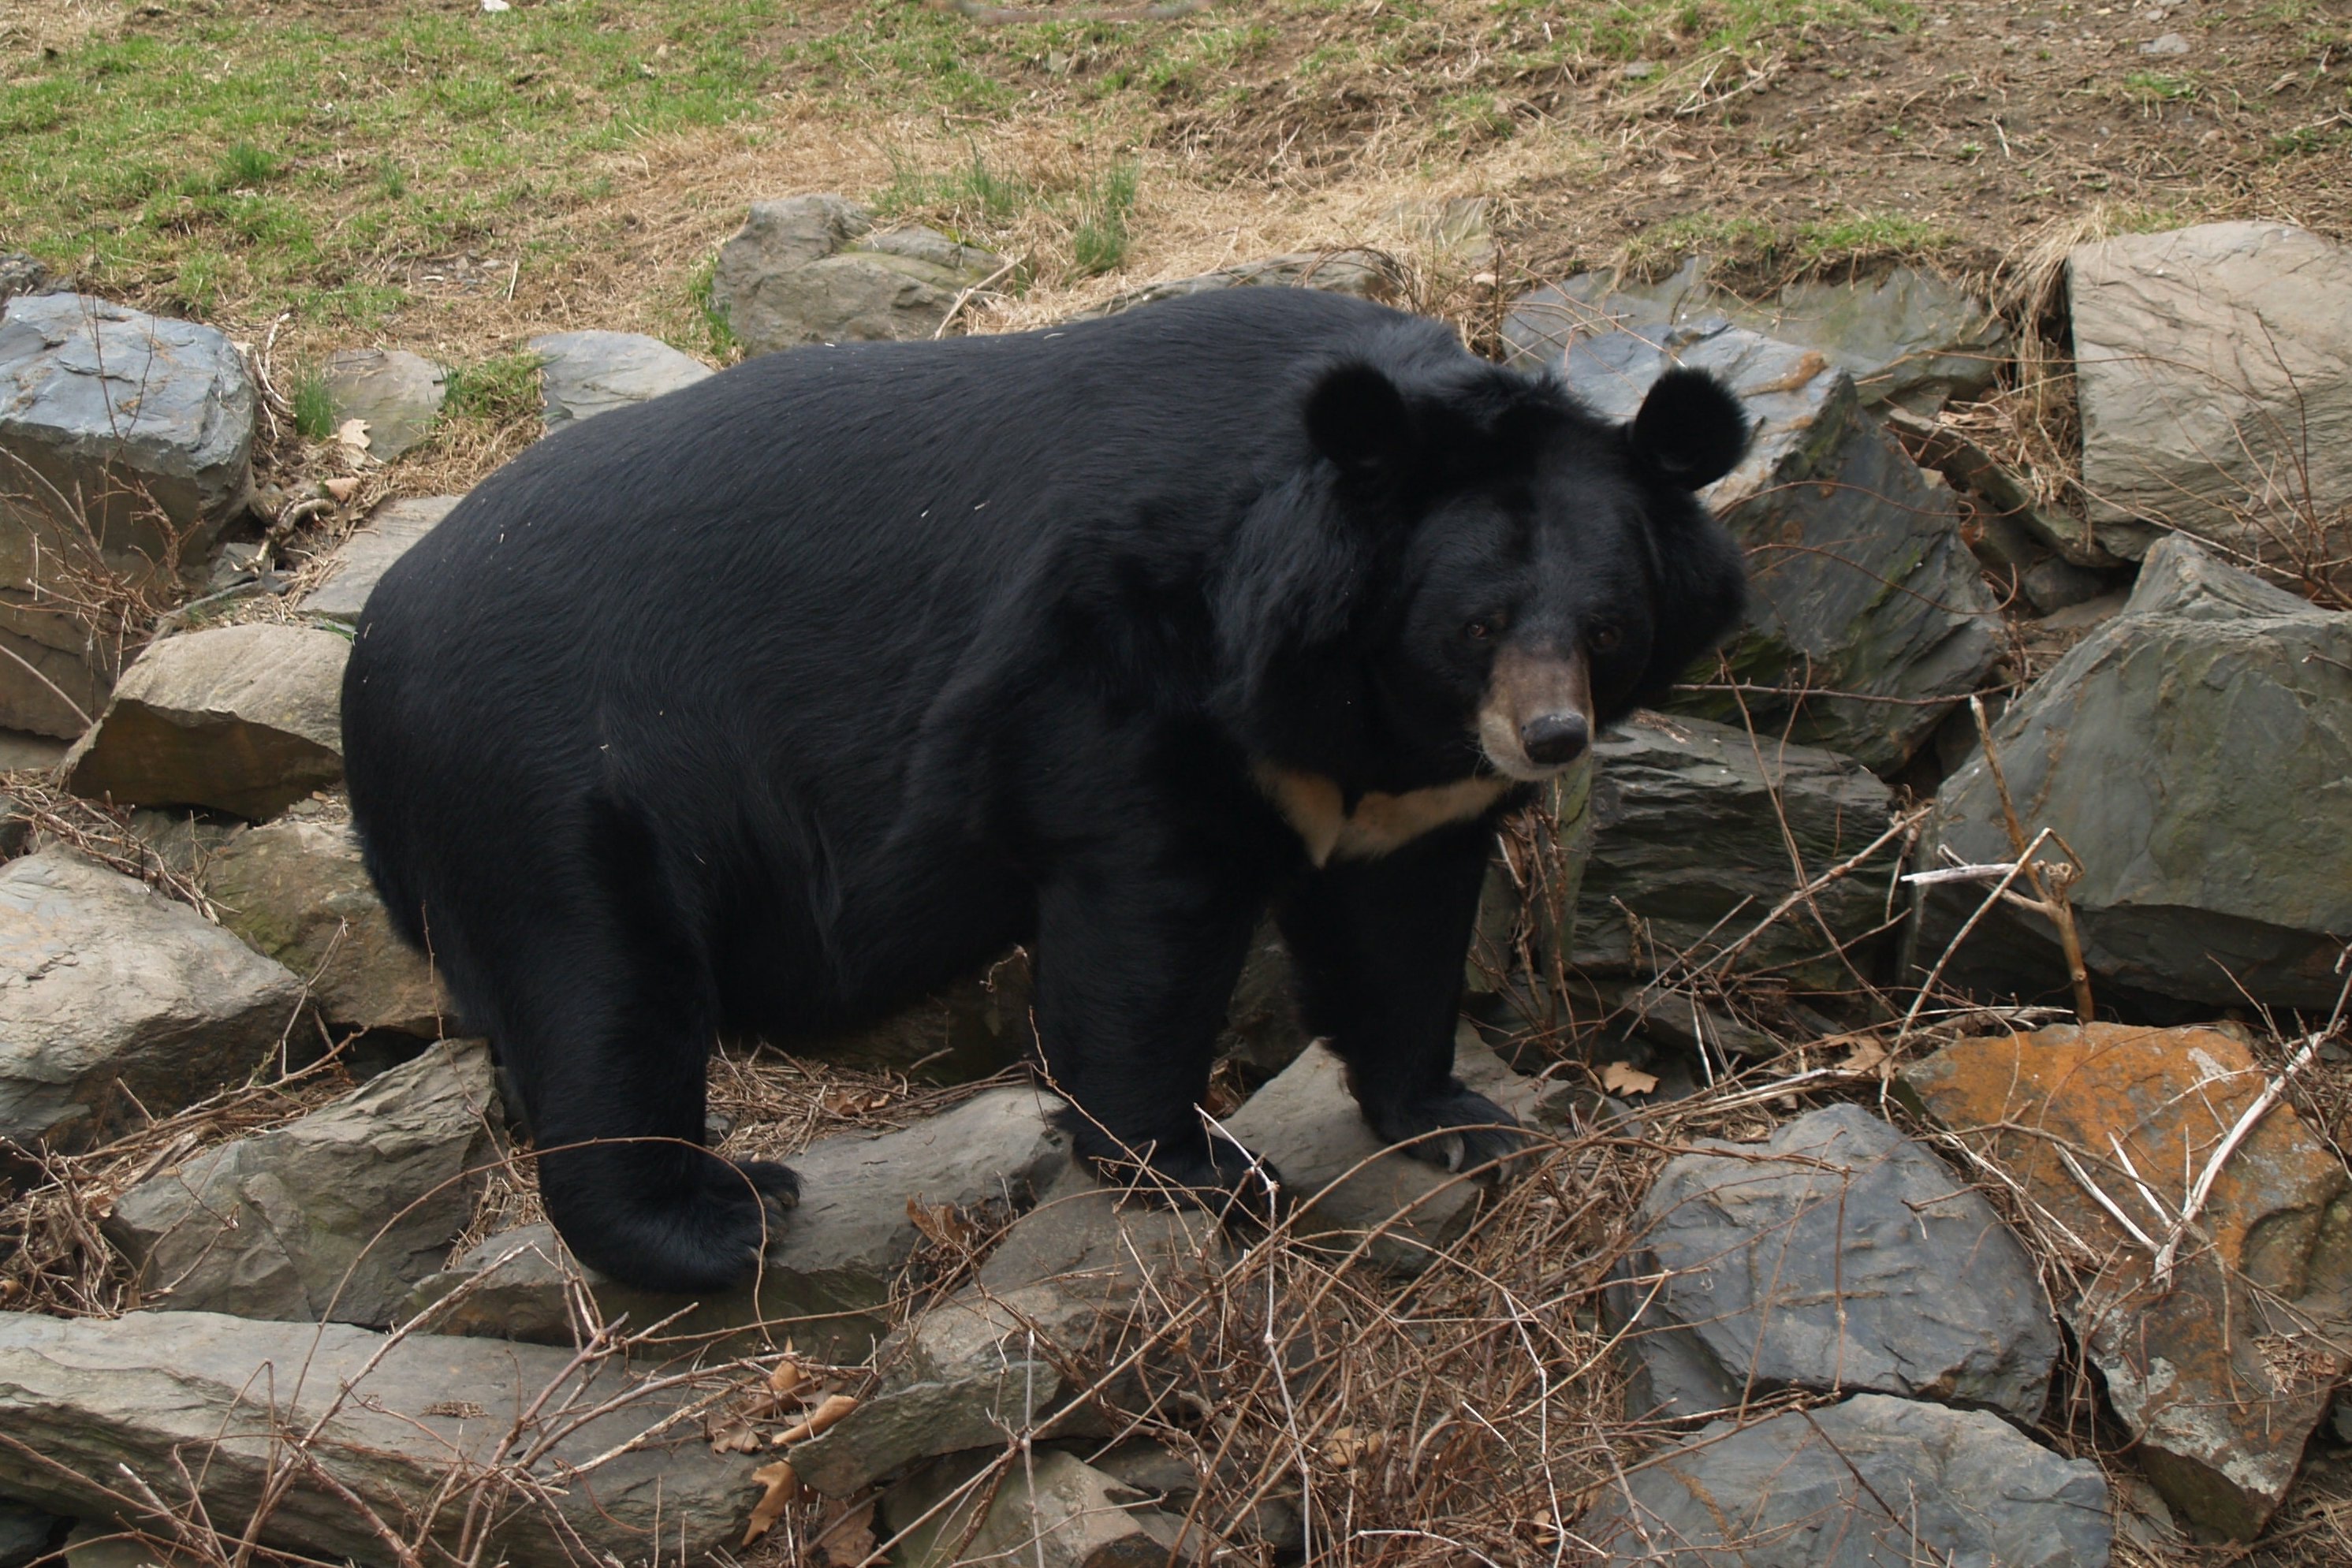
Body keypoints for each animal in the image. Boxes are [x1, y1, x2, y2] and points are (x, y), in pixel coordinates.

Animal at [348, 288, 1750, 1298]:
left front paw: (1462, 1121)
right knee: (604, 998)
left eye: (1608, 625)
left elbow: (1395, 936)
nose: (1547, 737)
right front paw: (1203, 1166)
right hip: (556, 787)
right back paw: (723, 1216)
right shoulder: (1117, 673)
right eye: (1476, 625)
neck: (1353, 691)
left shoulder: (1400, 793)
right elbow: (1141, 933)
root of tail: (373, 647)